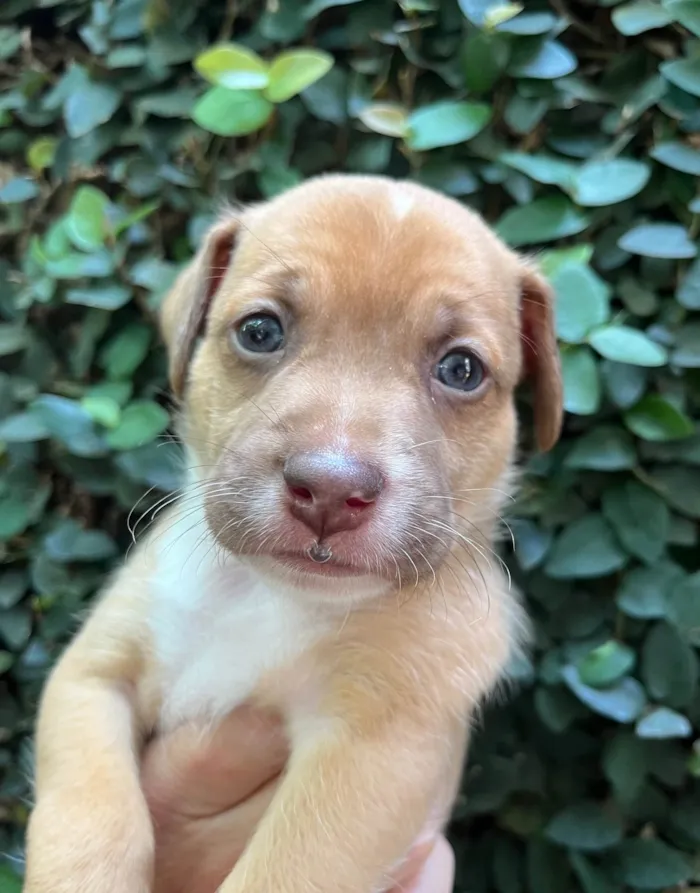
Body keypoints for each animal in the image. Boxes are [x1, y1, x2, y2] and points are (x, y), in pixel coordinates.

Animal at [23, 174, 564, 892]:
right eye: (260, 330)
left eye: (462, 370)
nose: (330, 491)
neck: (271, 594)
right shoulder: (91, 676)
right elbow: (88, 818)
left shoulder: (373, 751)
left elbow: (287, 868)